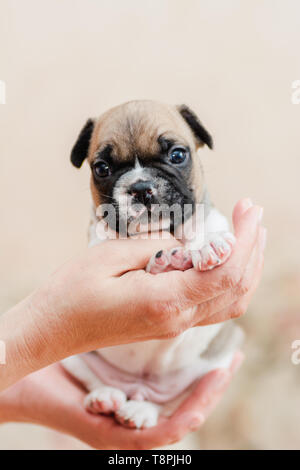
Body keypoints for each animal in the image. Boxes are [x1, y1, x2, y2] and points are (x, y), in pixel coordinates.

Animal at [62, 100, 243, 430]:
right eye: (102, 168)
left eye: (178, 155)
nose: (141, 186)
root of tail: (140, 387)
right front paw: (162, 266)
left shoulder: (211, 215)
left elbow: (206, 226)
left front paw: (206, 244)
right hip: (72, 356)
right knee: (95, 380)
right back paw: (106, 398)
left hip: (218, 363)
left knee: (169, 403)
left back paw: (143, 409)